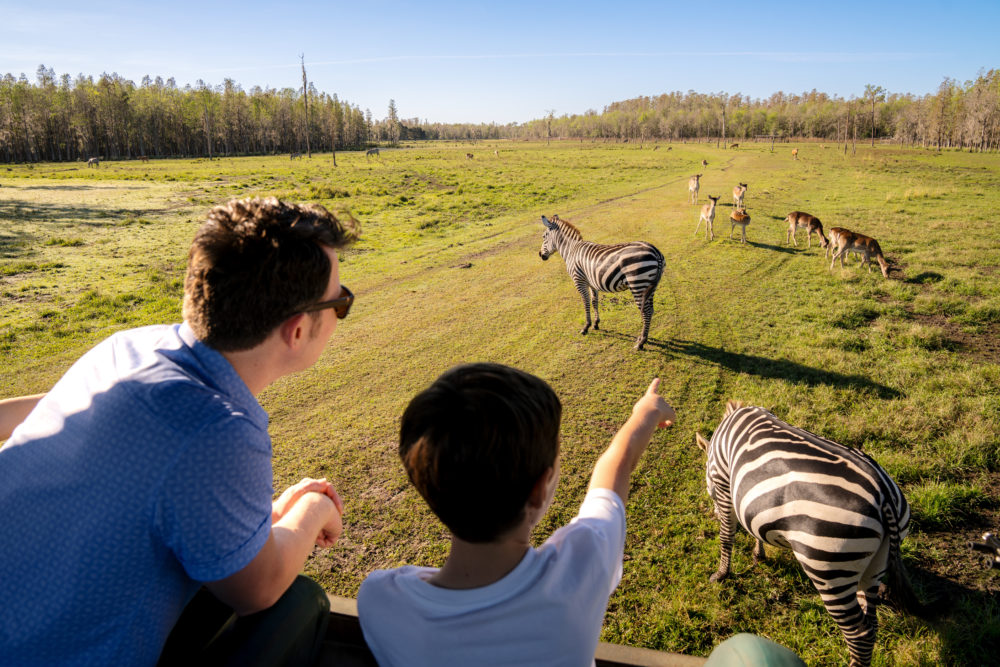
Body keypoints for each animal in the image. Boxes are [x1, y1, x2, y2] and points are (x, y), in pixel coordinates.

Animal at [538, 214, 664, 350]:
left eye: (544, 236)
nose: (540, 255)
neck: (571, 251)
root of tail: (655, 250)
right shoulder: (591, 282)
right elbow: (594, 301)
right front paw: (596, 324)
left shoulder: (579, 281)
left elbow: (586, 302)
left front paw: (586, 327)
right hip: (649, 286)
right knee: (650, 310)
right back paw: (641, 338)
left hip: (638, 284)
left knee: (646, 311)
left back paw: (641, 342)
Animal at [695, 402, 923, 667]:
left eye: (709, 483)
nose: (713, 512)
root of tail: (884, 493)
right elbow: (754, 526)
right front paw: (758, 554)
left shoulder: (723, 484)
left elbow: (726, 536)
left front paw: (721, 574)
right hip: (874, 565)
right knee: (872, 623)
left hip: (830, 568)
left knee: (860, 633)